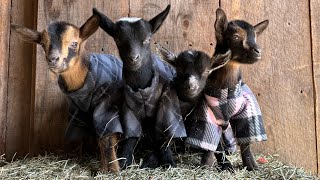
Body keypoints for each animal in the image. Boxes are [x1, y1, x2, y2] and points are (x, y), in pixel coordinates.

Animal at [11, 14, 124, 173]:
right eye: (43, 44)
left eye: (74, 43)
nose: (53, 59)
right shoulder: (79, 111)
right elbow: (93, 137)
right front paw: (100, 167)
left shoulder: (106, 107)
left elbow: (107, 138)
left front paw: (113, 170)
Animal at [186, 8, 268, 172]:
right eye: (235, 36)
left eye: (255, 37)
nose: (258, 51)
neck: (226, 92)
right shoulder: (208, 114)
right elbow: (214, 144)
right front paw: (212, 164)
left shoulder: (247, 111)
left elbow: (246, 142)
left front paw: (252, 166)